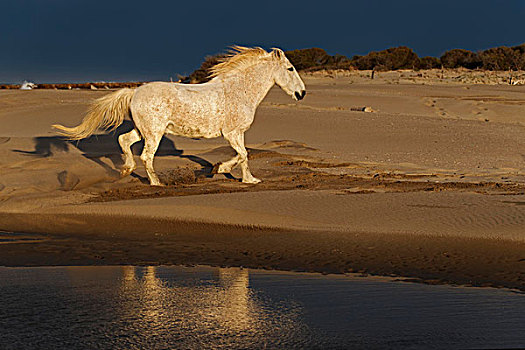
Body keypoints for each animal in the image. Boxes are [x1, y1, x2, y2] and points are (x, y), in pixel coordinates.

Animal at [52, 46, 308, 186]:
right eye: (290, 68)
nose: (302, 93)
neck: (239, 90)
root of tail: (134, 92)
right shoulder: (232, 133)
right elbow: (244, 155)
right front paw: (245, 178)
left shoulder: (236, 134)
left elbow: (242, 155)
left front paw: (222, 170)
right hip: (154, 133)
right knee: (146, 156)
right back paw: (156, 183)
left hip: (144, 130)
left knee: (124, 140)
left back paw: (126, 169)